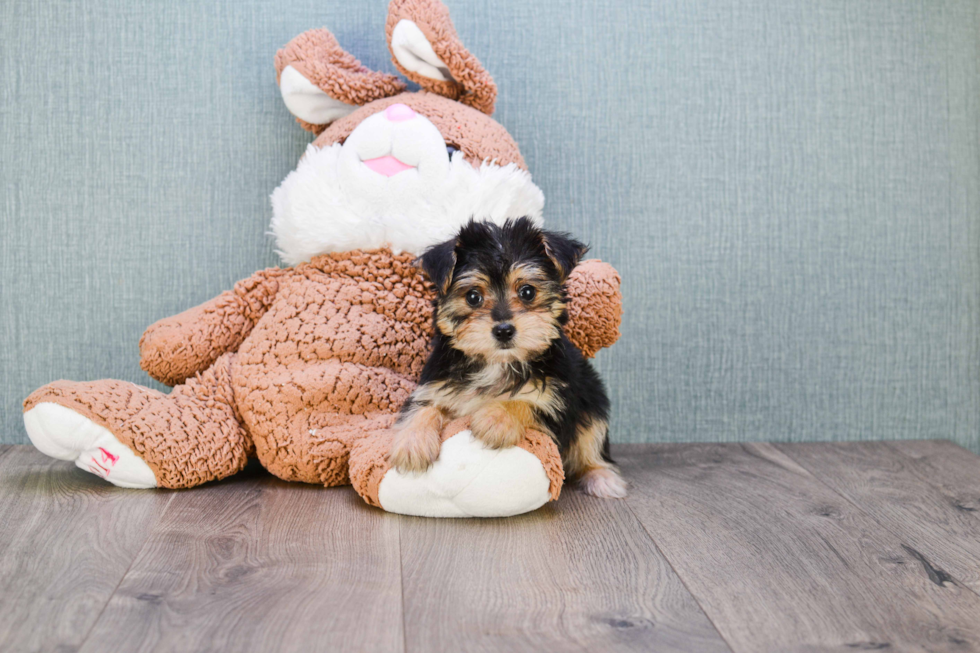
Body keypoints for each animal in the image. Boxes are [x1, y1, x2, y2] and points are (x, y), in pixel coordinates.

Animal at [386, 219, 624, 500]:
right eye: (473, 297)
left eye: (527, 292)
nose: (503, 330)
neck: (497, 363)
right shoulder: (436, 385)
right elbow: (424, 408)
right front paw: (412, 443)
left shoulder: (558, 398)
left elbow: (527, 402)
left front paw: (496, 419)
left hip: (593, 400)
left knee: (592, 438)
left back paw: (602, 477)